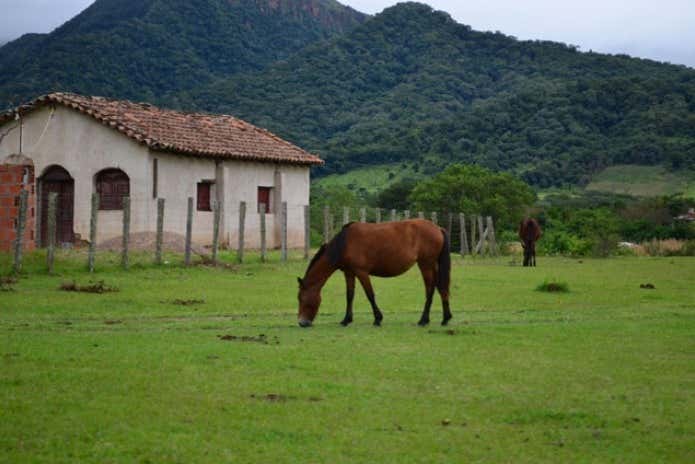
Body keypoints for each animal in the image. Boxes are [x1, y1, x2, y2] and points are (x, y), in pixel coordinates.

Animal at [298, 219, 452, 328]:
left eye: (301, 299)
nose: (302, 322)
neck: (344, 243)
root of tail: (438, 228)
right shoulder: (349, 273)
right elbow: (350, 296)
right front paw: (346, 320)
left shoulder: (361, 272)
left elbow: (370, 295)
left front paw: (378, 319)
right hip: (431, 265)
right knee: (440, 288)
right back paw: (445, 318)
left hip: (426, 264)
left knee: (430, 290)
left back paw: (423, 320)